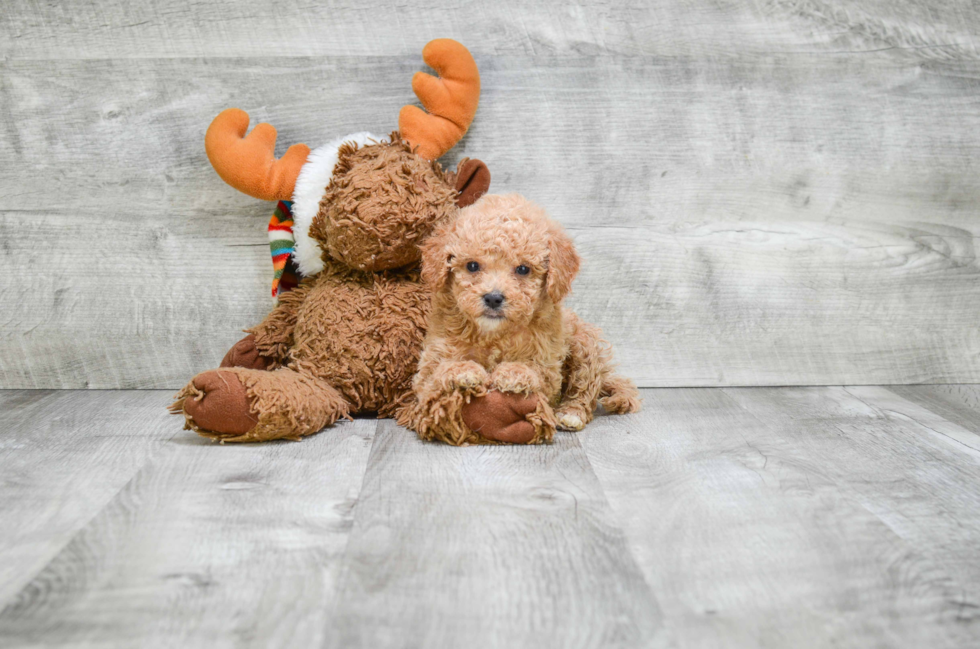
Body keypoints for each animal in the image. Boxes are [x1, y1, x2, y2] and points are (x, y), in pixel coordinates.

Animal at [400, 192, 644, 446]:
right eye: (472, 265)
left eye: (523, 269)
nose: (493, 298)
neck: (494, 334)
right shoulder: (431, 362)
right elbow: (436, 374)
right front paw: (463, 370)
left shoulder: (548, 365)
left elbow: (535, 370)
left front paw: (514, 373)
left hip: (584, 344)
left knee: (585, 386)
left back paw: (571, 413)